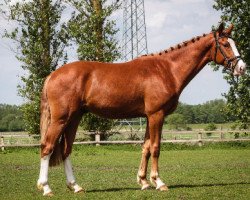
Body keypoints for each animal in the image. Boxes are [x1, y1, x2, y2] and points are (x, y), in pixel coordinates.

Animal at [37, 23, 246, 195]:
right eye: (226, 44)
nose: (242, 68)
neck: (167, 70)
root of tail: (53, 75)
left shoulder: (147, 117)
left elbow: (145, 147)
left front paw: (144, 182)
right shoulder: (156, 115)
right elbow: (155, 147)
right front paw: (158, 182)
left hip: (74, 118)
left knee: (66, 150)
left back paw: (75, 186)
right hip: (61, 119)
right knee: (47, 147)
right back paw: (46, 187)